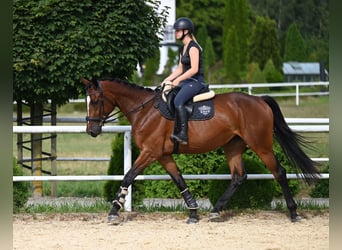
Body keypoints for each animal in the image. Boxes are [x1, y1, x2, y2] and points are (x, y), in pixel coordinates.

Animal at [83, 77, 320, 225]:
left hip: (260, 145)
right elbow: (179, 179)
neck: (145, 110)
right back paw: (215, 211)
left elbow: (128, 176)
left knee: (279, 172)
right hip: (233, 146)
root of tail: (259, 100)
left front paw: (114, 210)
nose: (91, 130)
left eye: (95, 100)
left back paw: (293, 213)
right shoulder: (163, 155)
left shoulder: (150, 152)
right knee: (238, 176)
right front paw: (193, 212)